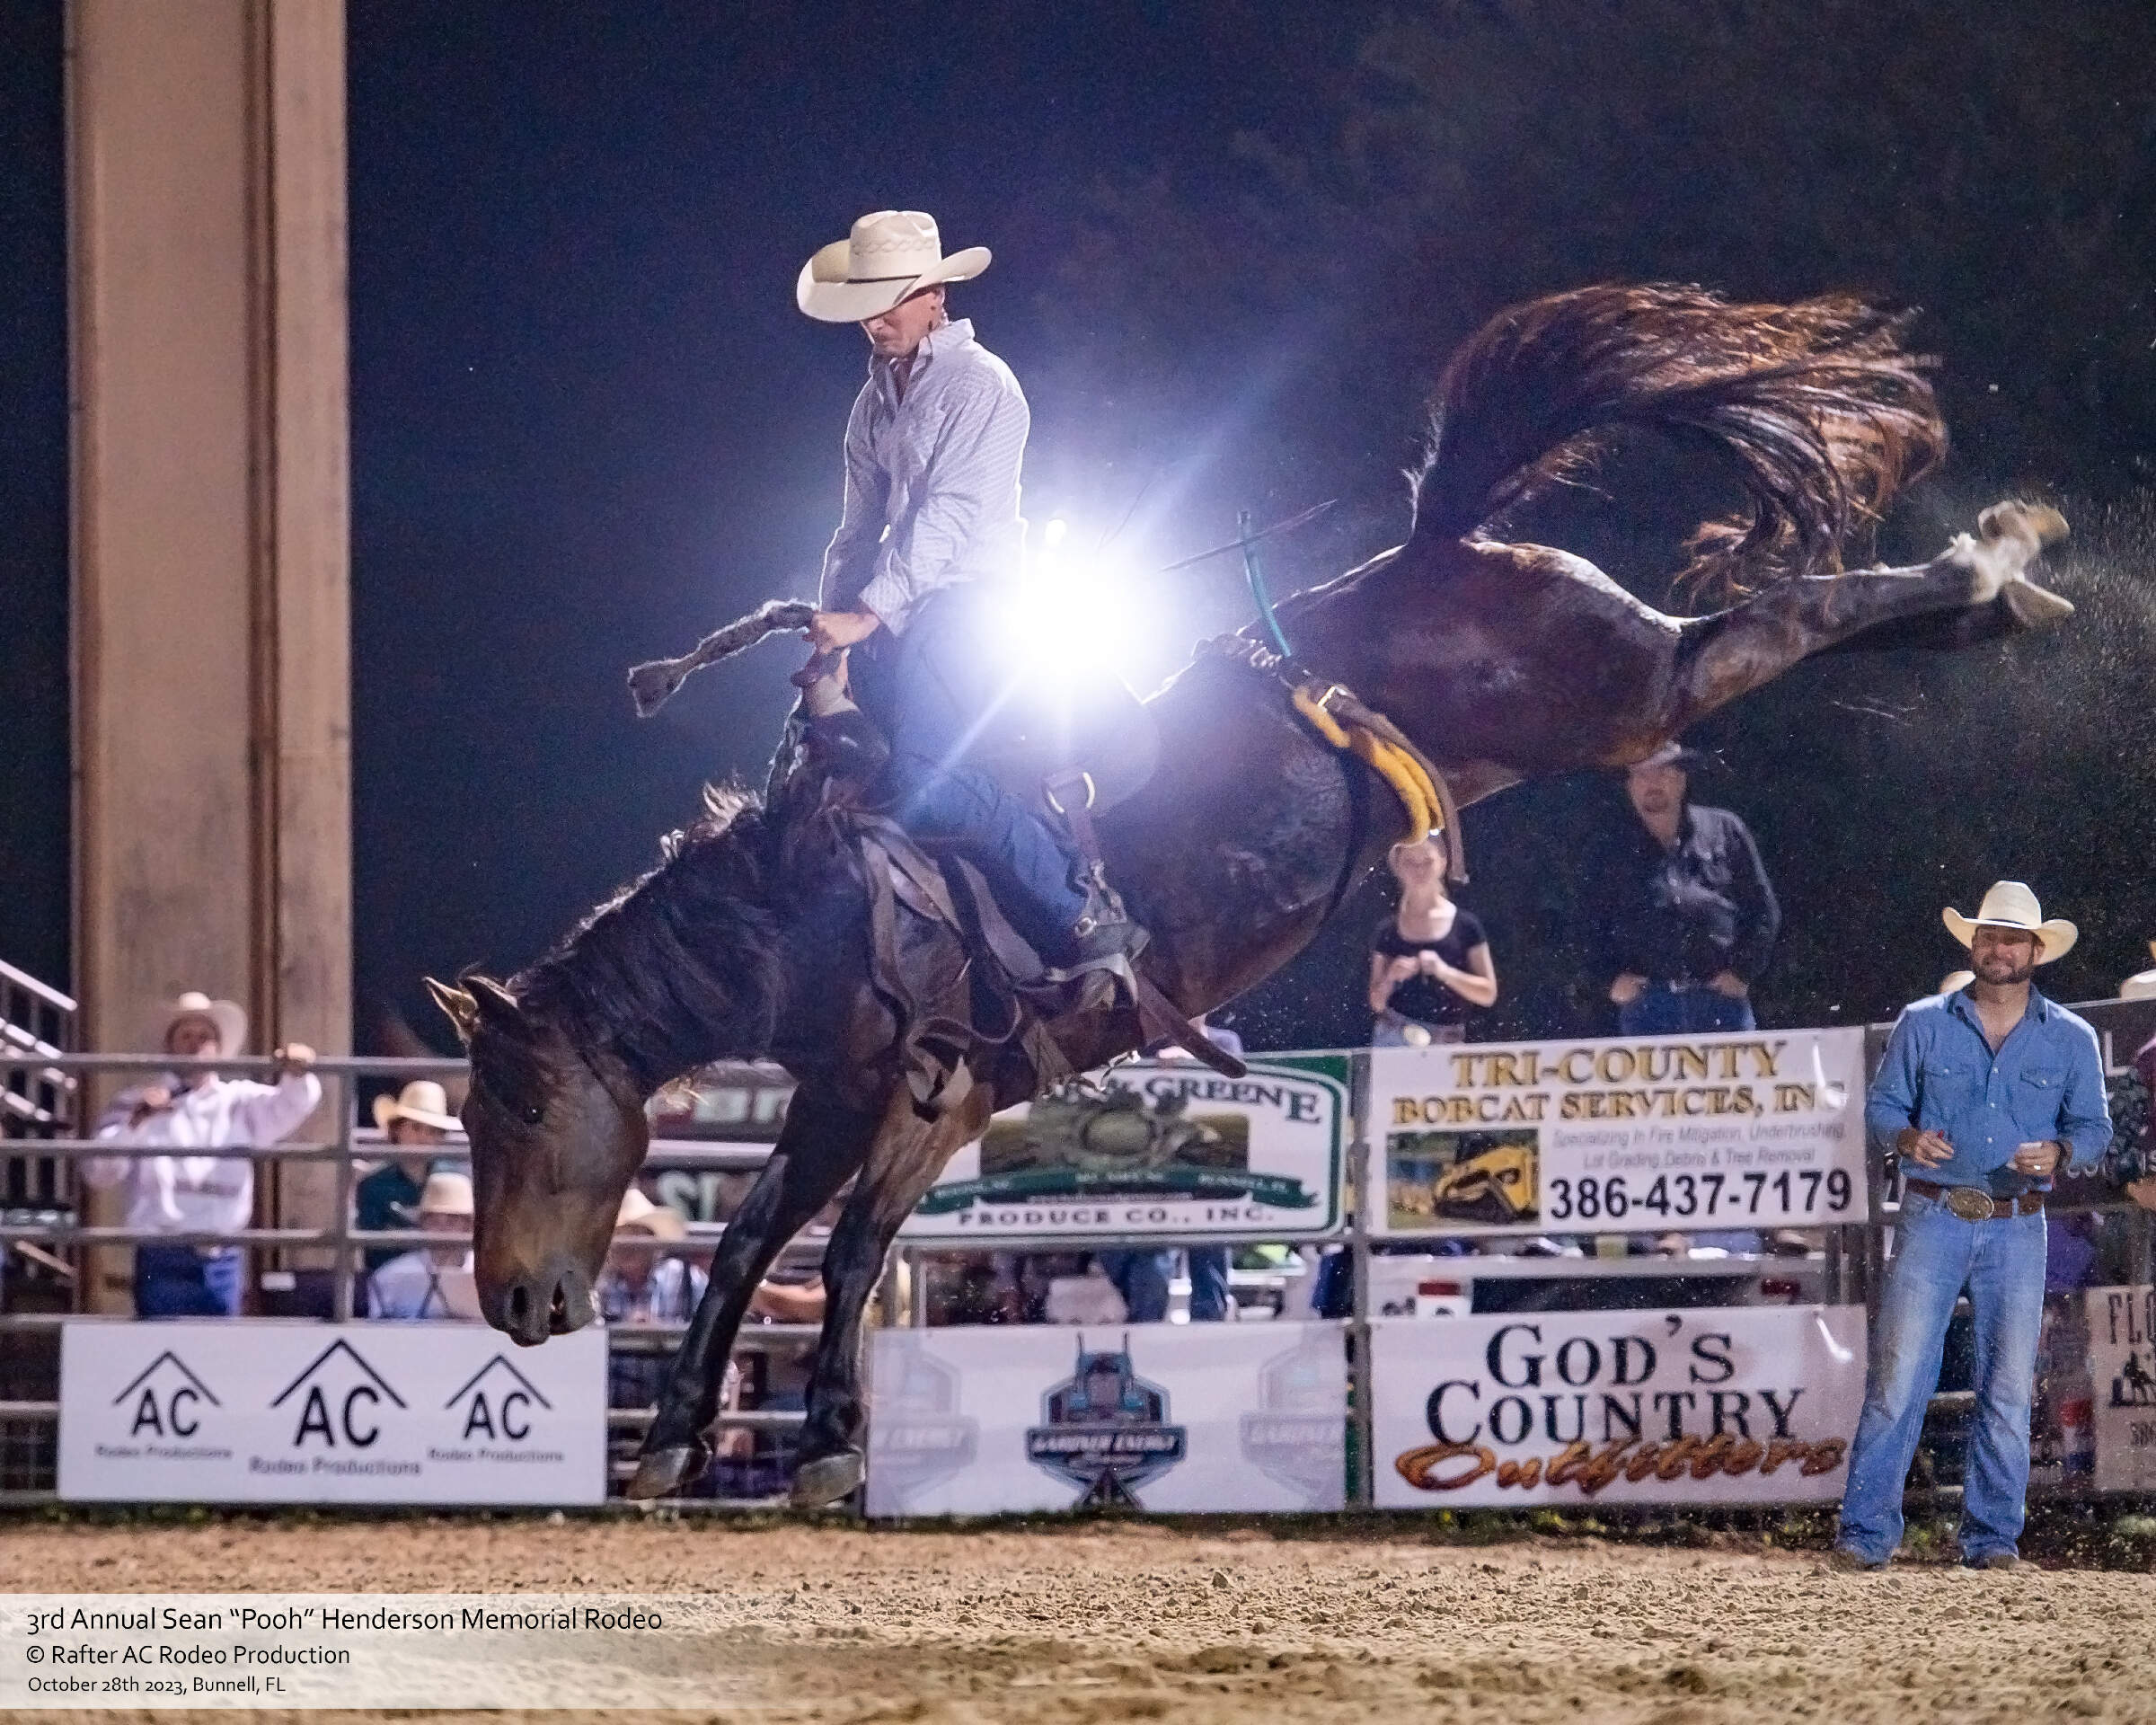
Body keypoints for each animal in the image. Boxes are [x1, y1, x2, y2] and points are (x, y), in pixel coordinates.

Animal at [427, 283, 2072, 1506]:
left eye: (522, 1103)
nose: (514, 1309)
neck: (813, 910)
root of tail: (1441, 541)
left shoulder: (927, 1097)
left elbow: (840, 1254)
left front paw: (828, 1447)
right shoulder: (837, 1093)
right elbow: (750, 1240)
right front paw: (669, 1442)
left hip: (1618, 695)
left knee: (1774, 621)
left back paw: (1993, 568)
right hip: (1621, 694)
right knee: (1772, 626)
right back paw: (2000, 596)